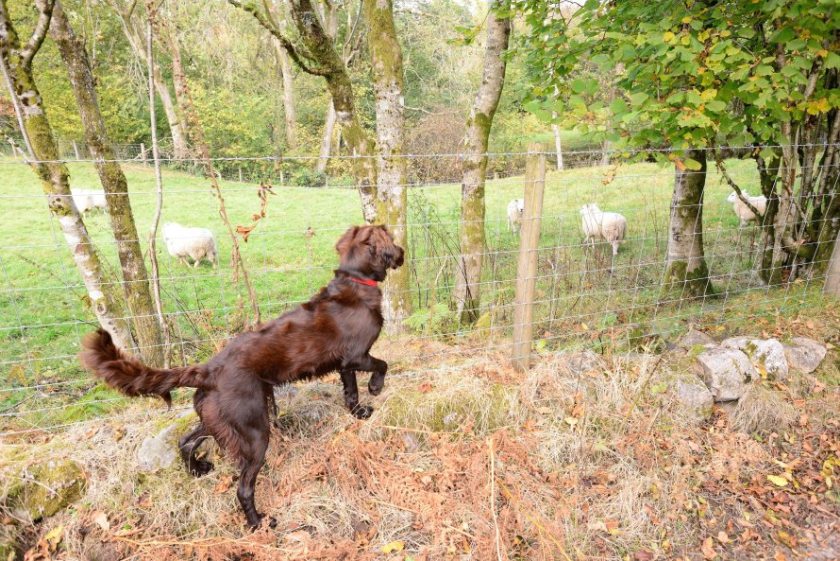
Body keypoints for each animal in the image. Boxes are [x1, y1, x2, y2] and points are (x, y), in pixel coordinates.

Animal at [79, 225, 404, 528]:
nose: (401, 252)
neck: (355, 280)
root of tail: (208, 370)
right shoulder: (358, 356)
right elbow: (382, 365)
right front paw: (376, 388)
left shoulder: (345, 363)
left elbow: (351, 391)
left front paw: (359, 413)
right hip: (254, 431)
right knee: (243, 488)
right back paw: (258, 522)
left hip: (219, 420)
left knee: (186, 441)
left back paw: (198, 471)